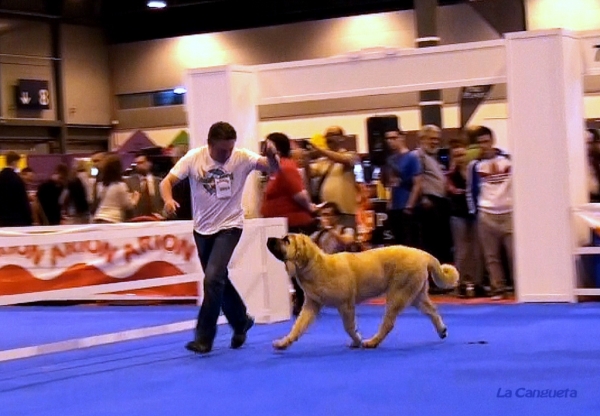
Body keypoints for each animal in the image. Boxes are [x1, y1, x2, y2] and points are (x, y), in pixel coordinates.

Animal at [264, 236, 458, 350]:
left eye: (286, 241)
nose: (269, 238)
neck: (315, 266)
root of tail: (424, 254)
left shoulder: (346, 305)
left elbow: (349, 327)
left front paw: (357, 340)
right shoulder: (312, 305)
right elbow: (298, 327)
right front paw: (284, 342)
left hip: (398, 294)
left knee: (388, 323)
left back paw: (372, 341)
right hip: (416, 295)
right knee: (432, 311)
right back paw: (442, 330)